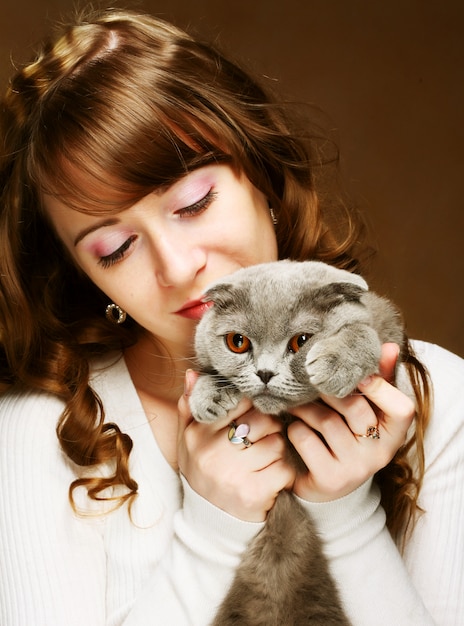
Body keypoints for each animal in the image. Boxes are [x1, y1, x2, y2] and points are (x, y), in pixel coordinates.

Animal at [188, 258, 402, 624]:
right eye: (237, 342)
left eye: (302, 341)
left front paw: (336, 363)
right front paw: (208, 395)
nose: (264, 373)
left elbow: (362, 331)